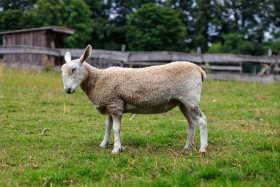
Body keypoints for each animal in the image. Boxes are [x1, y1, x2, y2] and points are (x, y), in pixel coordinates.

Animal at [61, 45, 208, 153]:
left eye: (74, 69)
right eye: (62, 70)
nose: (68, 90)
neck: (98, 79)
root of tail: (199, 70)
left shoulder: (115, 105)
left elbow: (116, 129)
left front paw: (116, 149)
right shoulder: (109, 104)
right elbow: (108, 126)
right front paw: (104, 144)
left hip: (190, 98)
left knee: (202, 120)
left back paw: (202, 148)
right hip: (183, 102)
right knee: (191, 122)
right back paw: (187, 146)